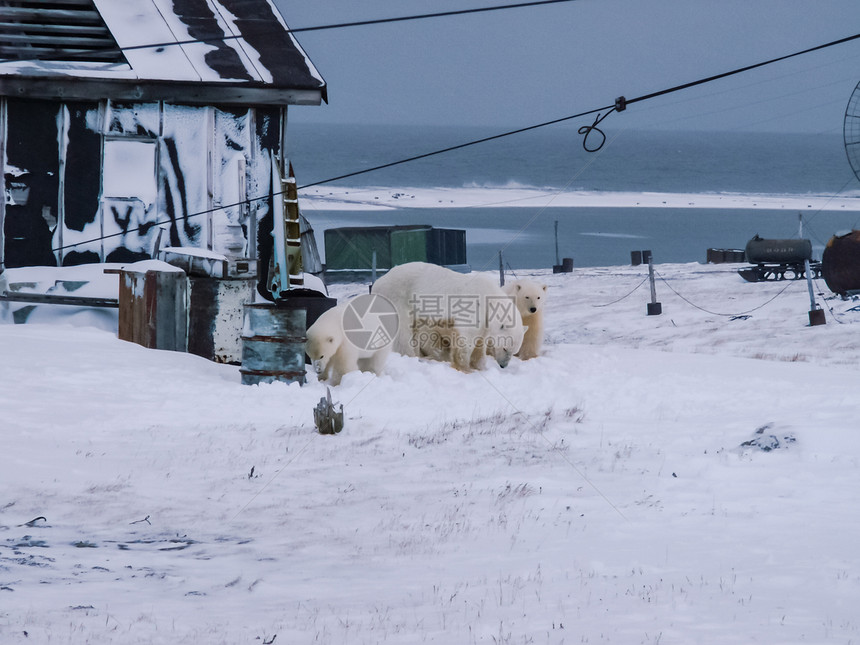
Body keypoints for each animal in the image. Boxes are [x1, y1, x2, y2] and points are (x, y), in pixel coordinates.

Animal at [374, 262, 528, 372]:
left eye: (514, 352)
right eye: (505, 348)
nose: (503, 365)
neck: (489, 298)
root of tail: (378, 282)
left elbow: (480, 342)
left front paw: (480, 366)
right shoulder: (473, 309)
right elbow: (466, 341)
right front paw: (465, 368)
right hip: (397, 297)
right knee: (403, 332)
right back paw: (411, 355)